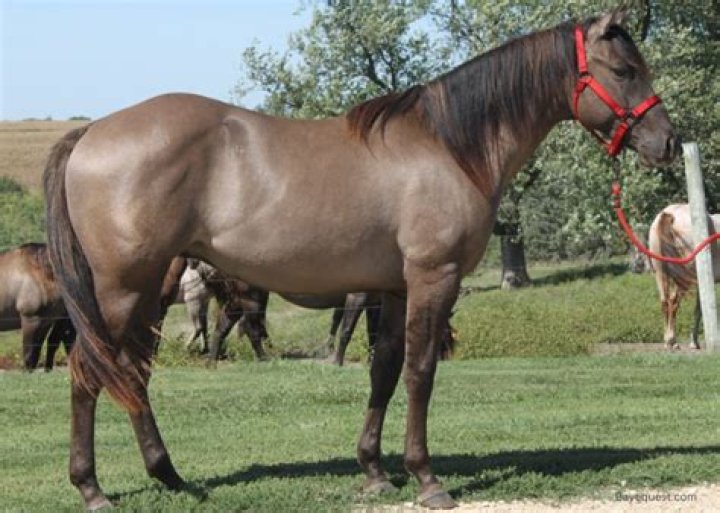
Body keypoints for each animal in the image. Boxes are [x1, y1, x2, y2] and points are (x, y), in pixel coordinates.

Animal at [43, 11, 678, 509]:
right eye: (625, 71)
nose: (667, 142)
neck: (449, 146)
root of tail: (90, 133)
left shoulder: (391, 289)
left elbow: (385, 368)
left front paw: (374, 471)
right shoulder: (433, 278)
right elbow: (421, 371)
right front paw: (427, 479)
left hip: (151, 287)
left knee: (132, 372)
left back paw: (170, 476)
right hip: (121, 289)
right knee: (87, 370)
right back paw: (92, 489)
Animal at [648, 204, 720, 350]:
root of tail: (670, 214)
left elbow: (699, 310)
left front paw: (694, 342)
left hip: (660, 273)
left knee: (665, 302)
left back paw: (668, 342)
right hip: (683, 278)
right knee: (673, 302)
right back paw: (672, 341)